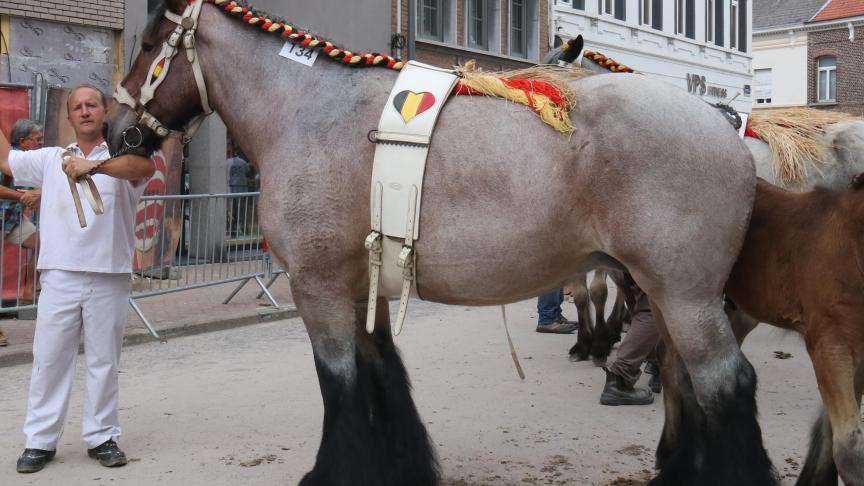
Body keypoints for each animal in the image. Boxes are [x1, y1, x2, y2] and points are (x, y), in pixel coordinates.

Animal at [106, 1, 776, 484]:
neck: (308, 114)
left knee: (726, 381)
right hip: (668, 294)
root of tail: (728, 134)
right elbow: (381, 373)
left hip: (685, 295)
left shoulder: (316, 287)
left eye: (149, 45)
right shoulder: (361, 289)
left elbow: (340, 383)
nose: (117, 131)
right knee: (684, 378)